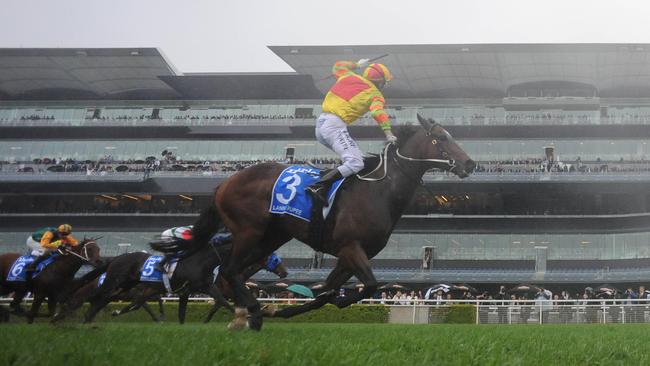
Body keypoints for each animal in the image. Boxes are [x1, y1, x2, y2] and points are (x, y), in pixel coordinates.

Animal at [190, 115, 474, 332]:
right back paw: (249, 312)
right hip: (249, 231)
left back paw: (248, 313)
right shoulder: (350, 247)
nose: (470, 163)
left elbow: (325, 292)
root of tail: (226, 182)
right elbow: (368, 285)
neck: (378, 191)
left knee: (234, 272)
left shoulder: (350, 256)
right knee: (229, 270)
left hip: (271, 238)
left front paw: (285, 311)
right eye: (441, 138)